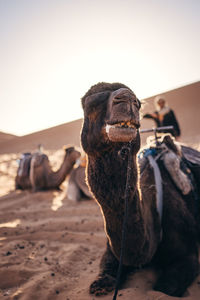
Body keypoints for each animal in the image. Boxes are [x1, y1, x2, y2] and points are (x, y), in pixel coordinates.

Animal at [80, 82, 200, 298]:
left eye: (138, 103)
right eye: (91, 103)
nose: (127, 98)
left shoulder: (188, 255)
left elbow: (165, 288)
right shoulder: (111, 251)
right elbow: (102, 277)